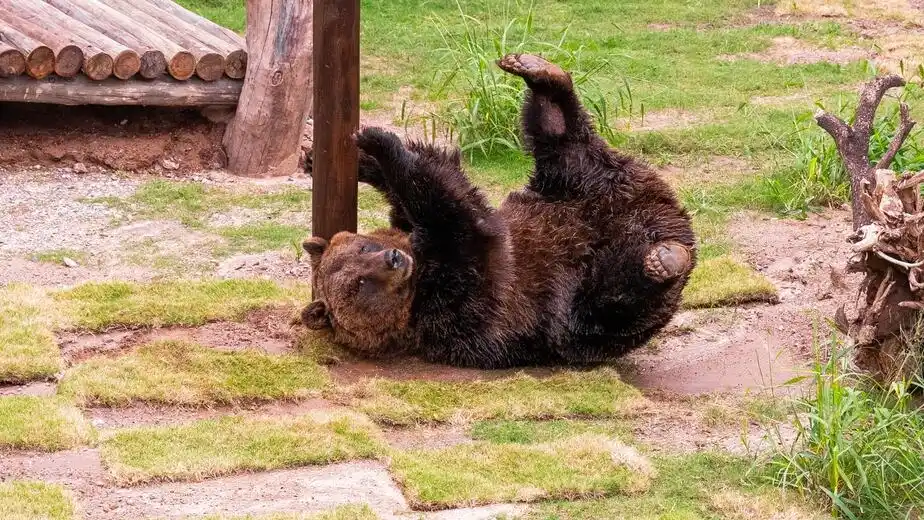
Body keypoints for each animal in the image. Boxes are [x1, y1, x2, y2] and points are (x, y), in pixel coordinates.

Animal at [300, 53, 696, 369]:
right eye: (359, 284)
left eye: (364, 246)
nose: (393, 259)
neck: (417, 284)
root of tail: (664, 212)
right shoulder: (461, 300)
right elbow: (453, 211)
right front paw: (381, 141)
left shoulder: (428, 248)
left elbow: (434, 179)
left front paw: (342, 154)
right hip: (585, 305)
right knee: (621, 295)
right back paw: (663, 260)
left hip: (583, 184)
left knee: (563, 140)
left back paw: (536, 68)